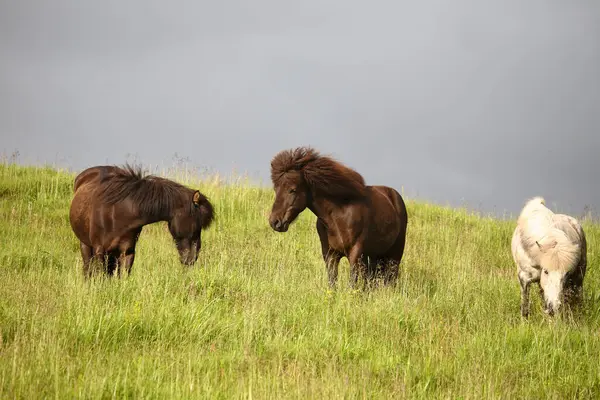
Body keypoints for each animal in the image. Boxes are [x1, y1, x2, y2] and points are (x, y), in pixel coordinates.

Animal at [69, 164, 214, 276]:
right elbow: (100, 275)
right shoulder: (100, 251)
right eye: (197, 223)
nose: (192, 259)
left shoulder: (128, 252)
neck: (116, 212)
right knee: (88, 268)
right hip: (86, 245)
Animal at [268, 147, 406, 288]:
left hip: (394, 255)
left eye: (292, 190)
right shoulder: (330, 255)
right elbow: (332, 283)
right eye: (276, 189)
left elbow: (352, 283)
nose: (275, 222)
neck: (338, 216)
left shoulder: (355, 254)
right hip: (373, 257)